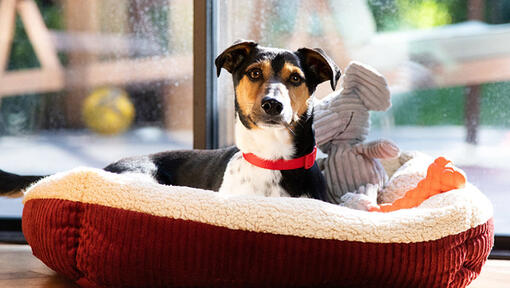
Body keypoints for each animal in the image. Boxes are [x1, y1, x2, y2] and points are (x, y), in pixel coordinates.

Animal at [0, 40, 342, 201]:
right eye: (255, 73)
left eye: (296, 78)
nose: (272, 104)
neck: (271, 159)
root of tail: (102, 168)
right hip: (146, 180)